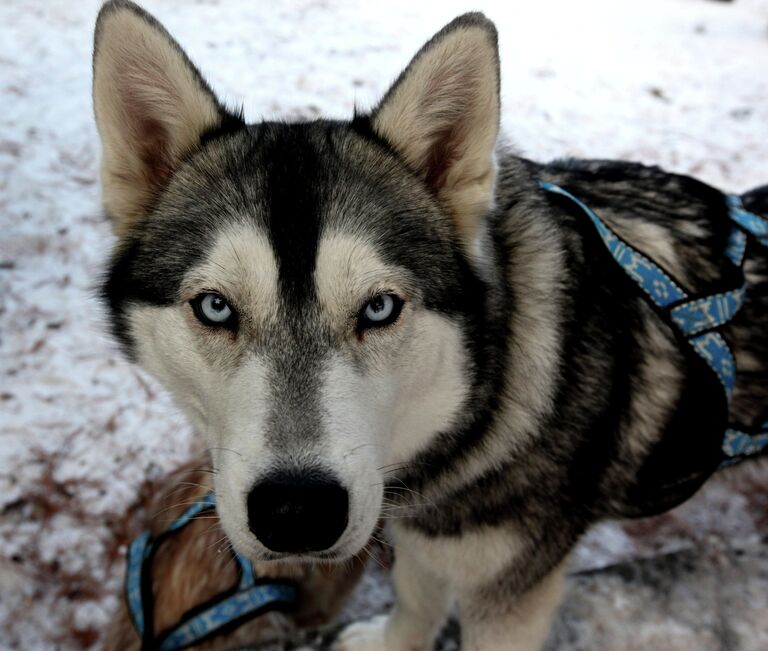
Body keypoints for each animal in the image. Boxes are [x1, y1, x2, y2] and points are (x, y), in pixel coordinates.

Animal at [96, 2, 768, 648]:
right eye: (215, 307)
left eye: (379, 307)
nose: (297, 512)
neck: (485, 398)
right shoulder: (422, 535)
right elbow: (417, 599)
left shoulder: (509, 596)